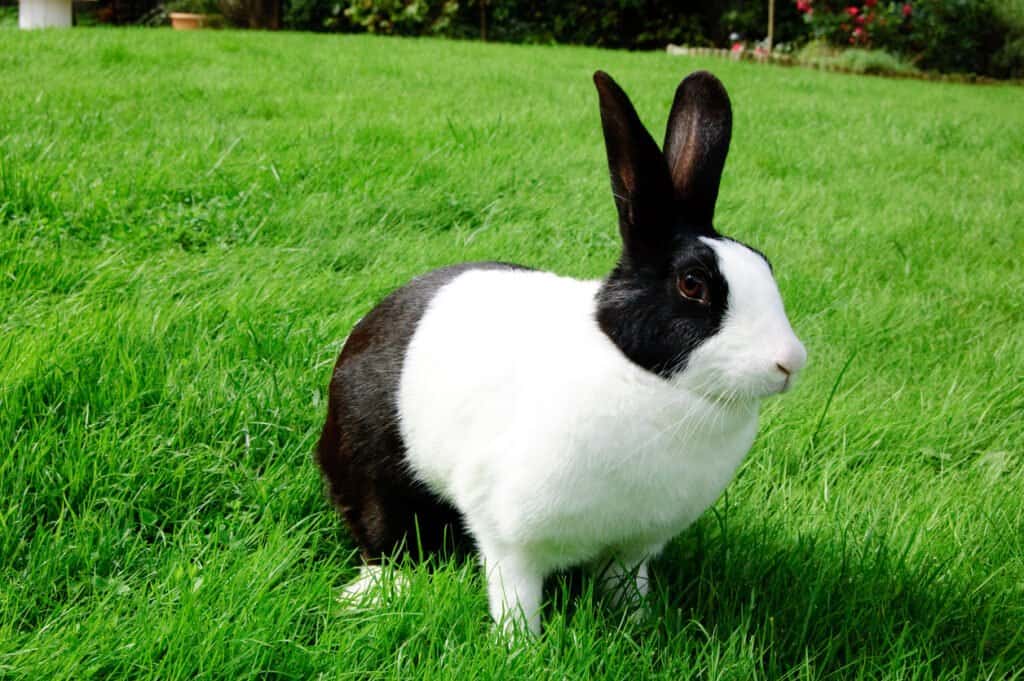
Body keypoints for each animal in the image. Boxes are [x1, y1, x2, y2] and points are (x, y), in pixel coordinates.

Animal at [315, 69, 811, 630]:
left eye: (764, 263)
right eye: (692, 285)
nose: (790, 362)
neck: (646, 377)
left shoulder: (633, 547)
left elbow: (626, 588)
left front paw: (639, 628)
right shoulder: (511, 541)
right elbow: (516, 599)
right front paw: (519, 645)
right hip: (375, 472)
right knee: (385, 536)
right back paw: (373, 594)